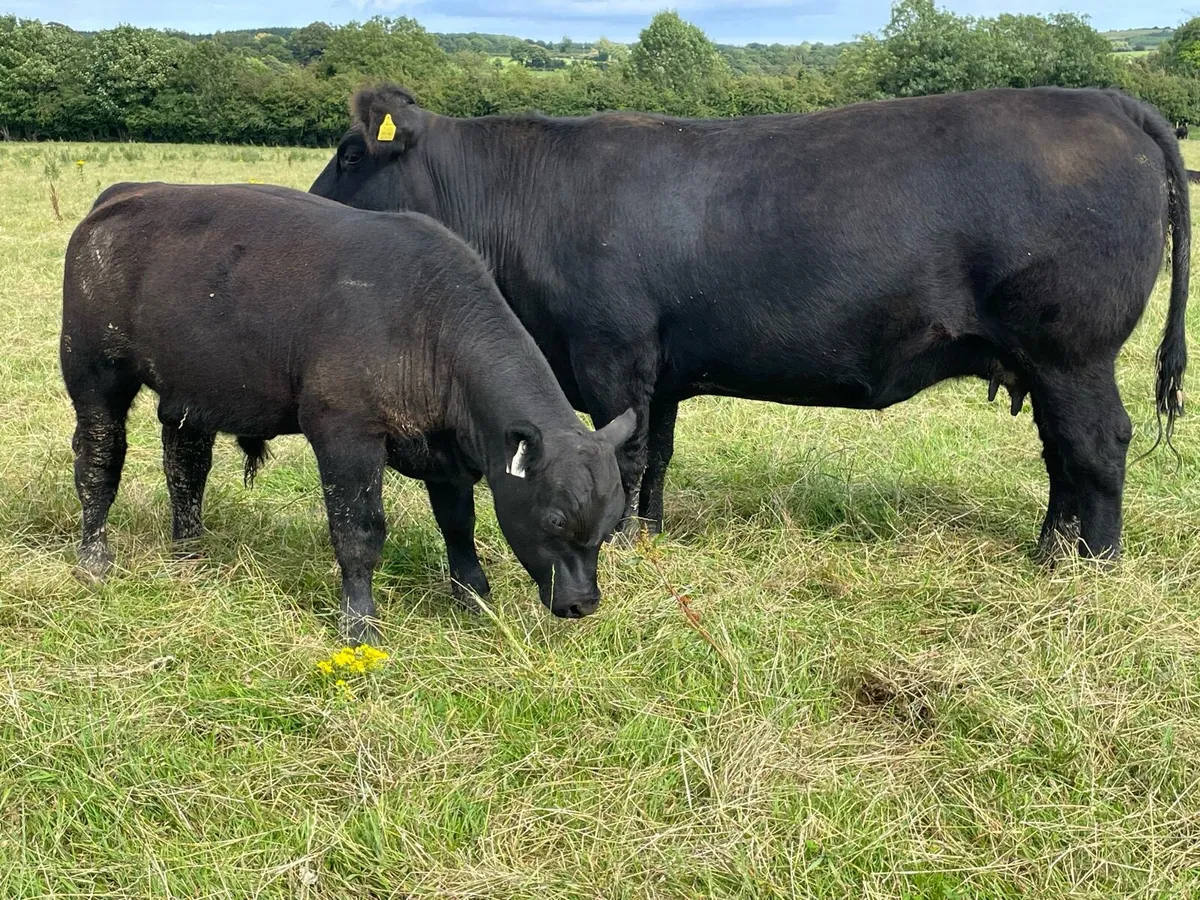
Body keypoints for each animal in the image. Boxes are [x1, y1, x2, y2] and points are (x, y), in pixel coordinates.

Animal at [61, 182, 635, 645]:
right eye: (555, 518)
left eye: (611, 523)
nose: (582, 603)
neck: (426, 320)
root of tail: (122, 195)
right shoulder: (346, 436)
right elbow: (358, 532)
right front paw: (360, 623)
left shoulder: (446, 452)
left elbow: (458, 525)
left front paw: (474, 598)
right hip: (94, 374)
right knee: (98, 462)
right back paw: (94, 557)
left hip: (188, 394)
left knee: (185, 466)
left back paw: (190, 550)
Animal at [311, 85, 1189, 564]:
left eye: (352, 155)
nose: (306, 209)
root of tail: (1107, 100)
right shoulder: (657, 371)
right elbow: (656, 459)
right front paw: (649, 536)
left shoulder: (610, 355)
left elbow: (623, 456)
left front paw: (616, 544)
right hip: (1043, 362)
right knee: (1062, 455)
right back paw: (1054, 547)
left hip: (1072, 349)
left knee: (1096, 447)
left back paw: (1087, 566)